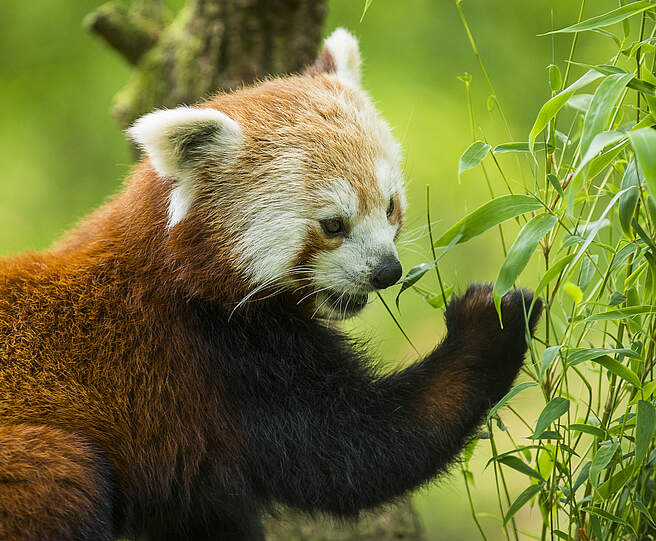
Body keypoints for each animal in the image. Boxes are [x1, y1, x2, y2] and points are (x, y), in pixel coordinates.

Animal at [0, 28, 541, 541]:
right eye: (333, 225)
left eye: (390, 206)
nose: (387, 272)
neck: (181, 273)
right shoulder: (218, 361)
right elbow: (357, 451)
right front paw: (492, 322)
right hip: (33, 467)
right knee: (64, 476)